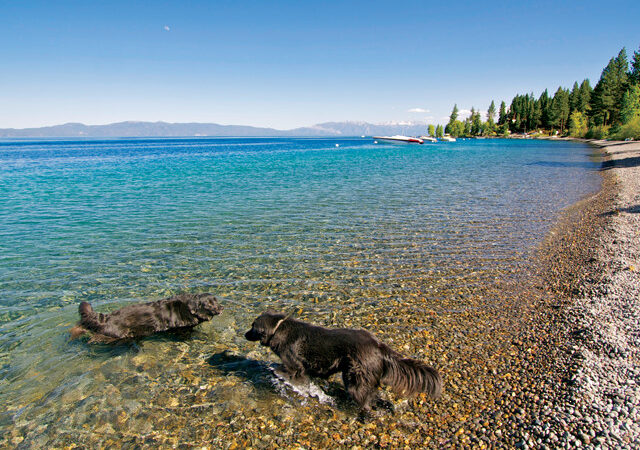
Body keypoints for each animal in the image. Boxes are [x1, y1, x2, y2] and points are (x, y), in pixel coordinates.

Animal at [70, 294, 224, 342]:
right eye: (209, 304)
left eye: (216, 300)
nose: (222, 307)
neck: (190, 308)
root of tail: (106, 318)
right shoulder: (181, 330)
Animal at [242, 312, 442, 414]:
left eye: (252, 327)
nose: (244, 334)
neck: (279, 328)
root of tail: (378, 345)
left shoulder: (295, 366)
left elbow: (281, 370)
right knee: (376, 398)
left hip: (355, 380)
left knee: (366, 402)